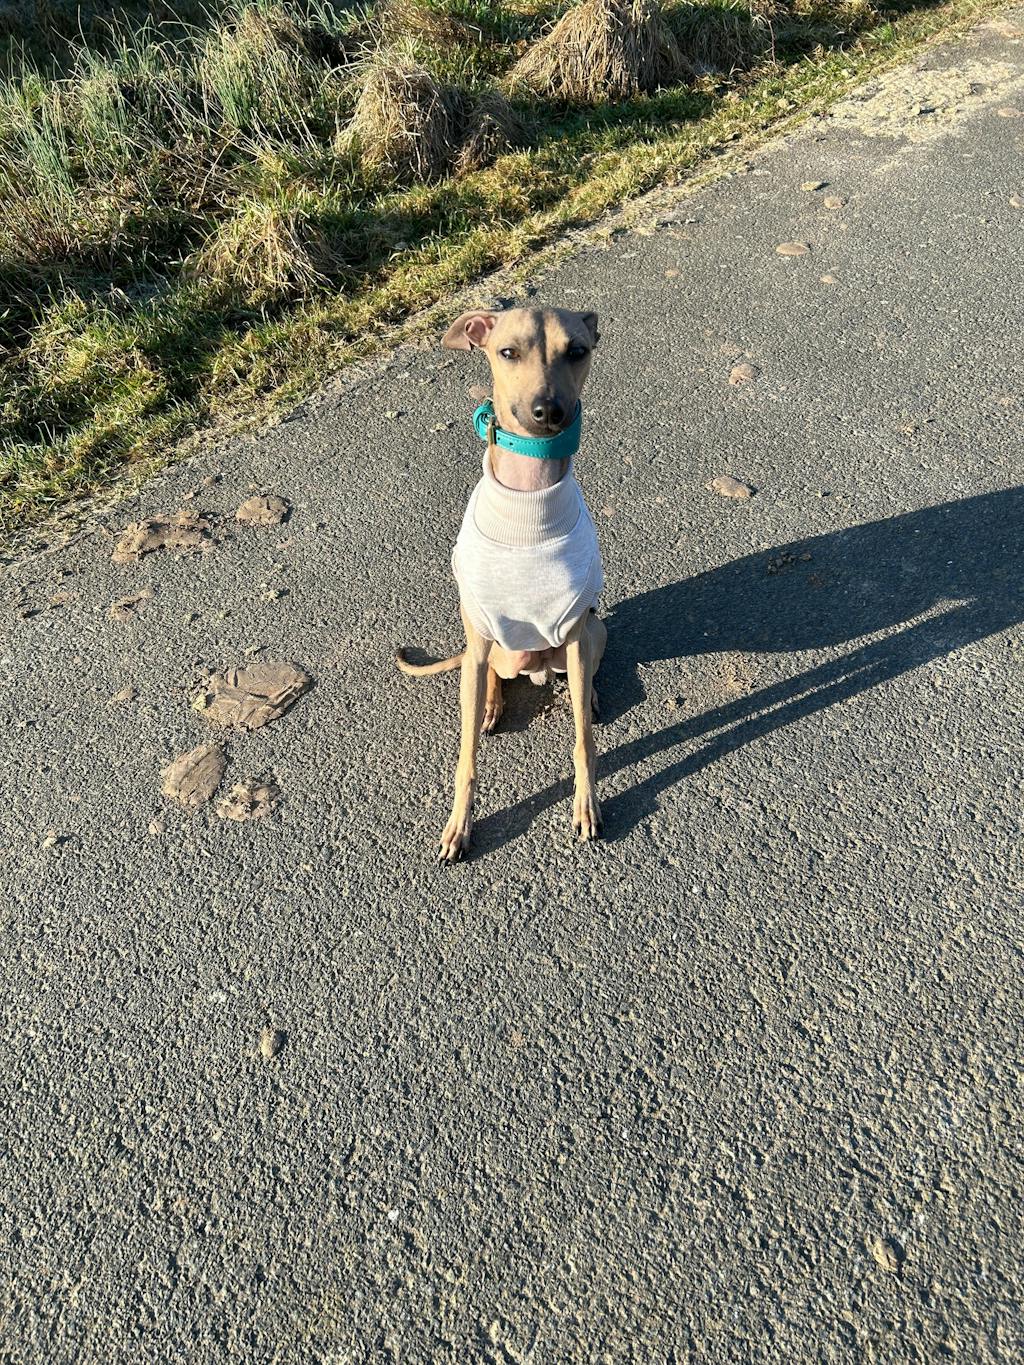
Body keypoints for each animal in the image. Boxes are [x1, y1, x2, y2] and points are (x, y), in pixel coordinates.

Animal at [398, 306, 607, 860]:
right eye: (508, 351)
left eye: (577, 351)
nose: (548, 411)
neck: (529, 499)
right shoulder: (479, 635)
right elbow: (465, 757)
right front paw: (458, 825)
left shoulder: (577, 629)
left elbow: (583, 742)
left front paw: (586, 805)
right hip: (493, 645)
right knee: (490, 670)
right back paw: (492, 703)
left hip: (591, 631)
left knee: (584, 674)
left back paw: (589, 696)